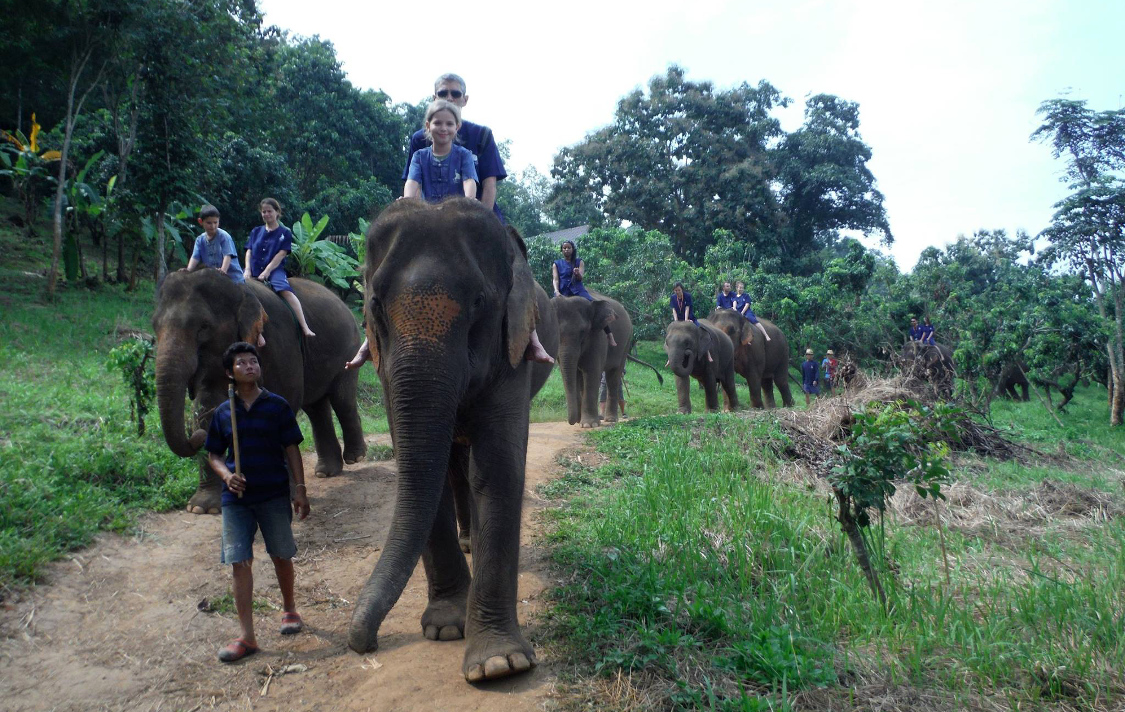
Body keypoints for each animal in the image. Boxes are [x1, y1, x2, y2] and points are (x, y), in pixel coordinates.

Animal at [153, 269, 366, 514]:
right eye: (154, 326)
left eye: (204, 326)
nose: (195, 437)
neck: (239, 291)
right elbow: (208, 407)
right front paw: (202, 508)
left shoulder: (279, 341)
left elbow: (286, 401)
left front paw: (286, 494)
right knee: (316, 407)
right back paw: (326, 472)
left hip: (349, 347)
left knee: (342, 399)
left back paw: (355, 457)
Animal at [348, 197, 547, 683]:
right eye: (375, 305)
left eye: (479, 303)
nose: (364, 643)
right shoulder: (386, 369)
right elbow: (420, 464)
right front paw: (445, 629)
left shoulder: (511, 346)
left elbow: (497, 467)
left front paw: (498, 666)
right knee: (454, 464)